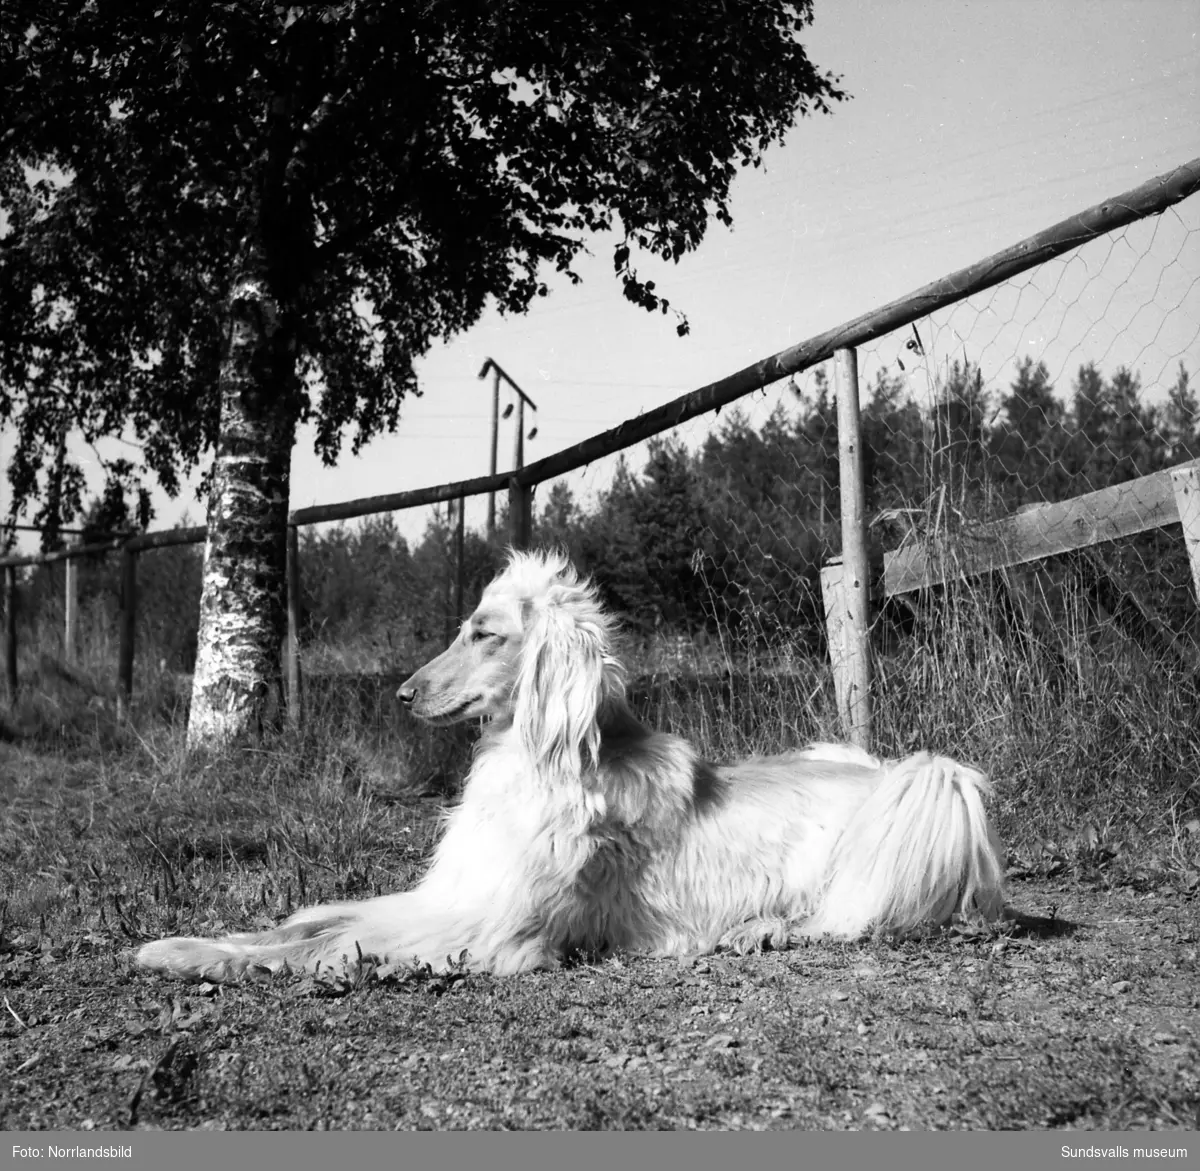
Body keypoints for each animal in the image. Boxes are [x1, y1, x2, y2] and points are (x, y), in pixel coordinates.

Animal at [138, 549, 1003, 979]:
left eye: (485, 633)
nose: (403, 692)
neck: (532, 767)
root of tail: (912, 774)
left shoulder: (493, 929)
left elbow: (321, 946)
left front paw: (185, 954)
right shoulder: (456, 891)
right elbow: (324, 917)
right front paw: (206, 936)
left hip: (885, 832)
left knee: (848, 914)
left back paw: (761, 929)